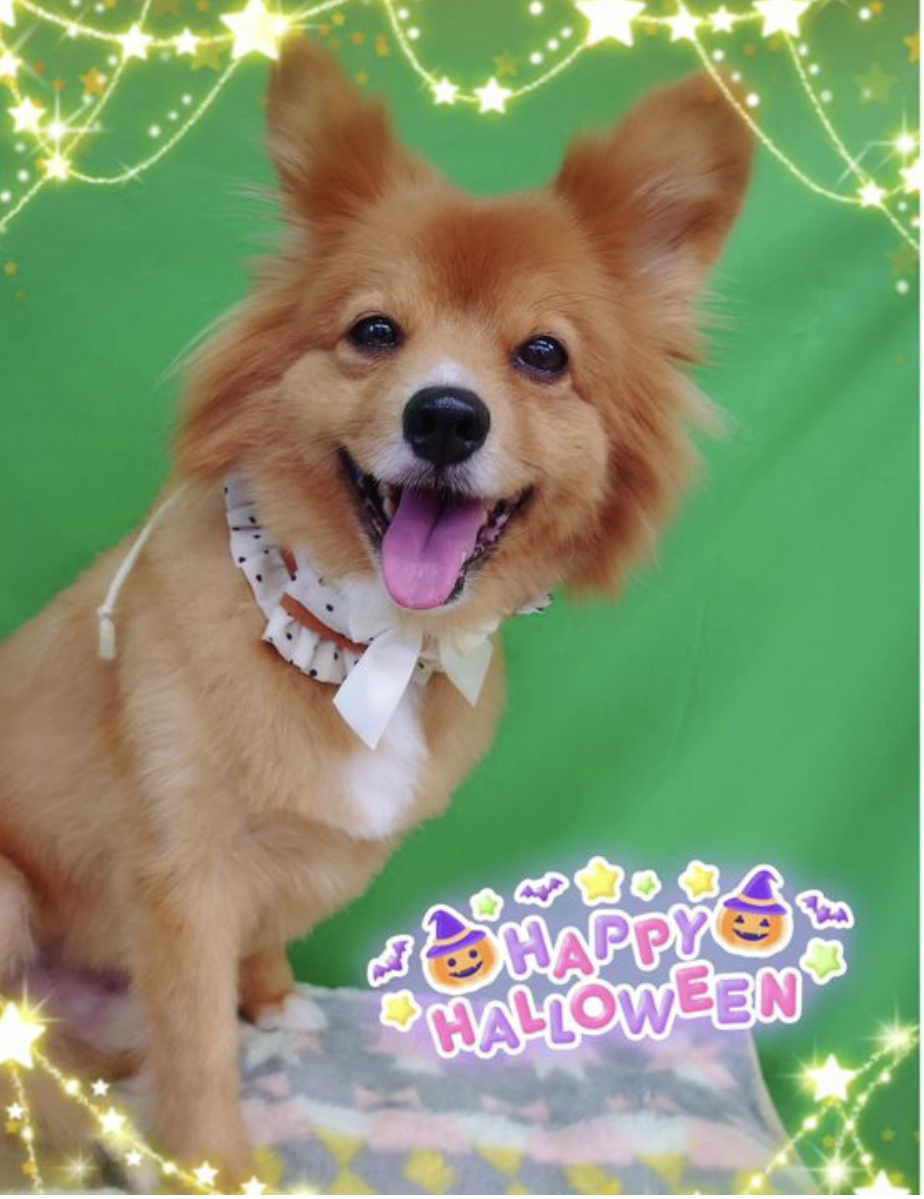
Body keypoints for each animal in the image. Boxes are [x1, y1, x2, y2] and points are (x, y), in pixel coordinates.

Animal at [0, 37, 752, 1183]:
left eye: (543, 354)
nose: (444, 415)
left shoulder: (274, 862)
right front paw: (221, 1164)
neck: (363, 639)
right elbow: (196, 1042)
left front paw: (274, 1000)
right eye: (375, 331)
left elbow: (255, 948)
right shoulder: (182, 874)